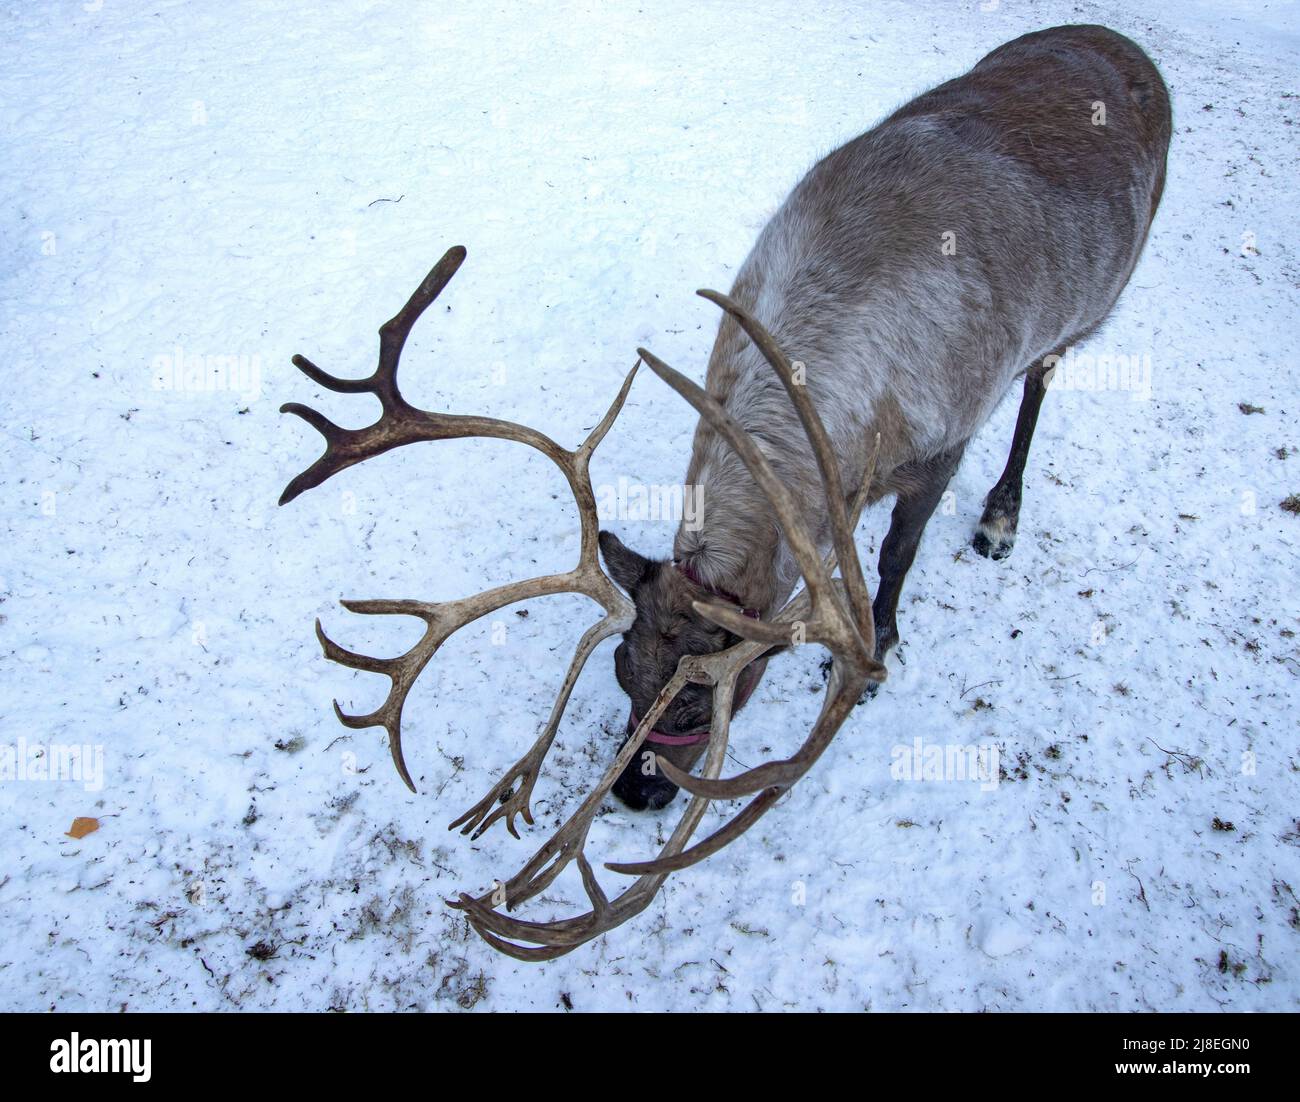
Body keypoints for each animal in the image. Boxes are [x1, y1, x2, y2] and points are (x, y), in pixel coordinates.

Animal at [280, 24, 1170, 959]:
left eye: (710, 698)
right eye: (620, 672)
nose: (634, 794)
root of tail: (1116, 39)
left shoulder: (945, 438)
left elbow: (897, 555)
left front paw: (881, 647)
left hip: (1095, 304)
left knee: (1044, 379)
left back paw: (1002, 517)